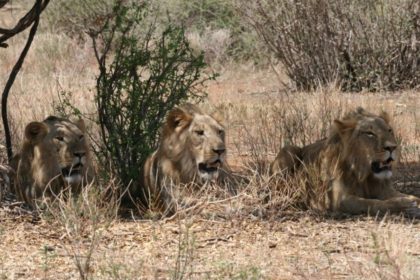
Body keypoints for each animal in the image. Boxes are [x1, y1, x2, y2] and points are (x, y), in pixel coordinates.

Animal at [270, 107, 420, 214]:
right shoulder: (339, 200)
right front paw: (404, 204)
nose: (392, 147)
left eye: (389, 130)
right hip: (289, 150)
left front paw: (413, 200)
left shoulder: (383, 190)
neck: (364, 176)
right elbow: (372, 203)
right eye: (370, 134)